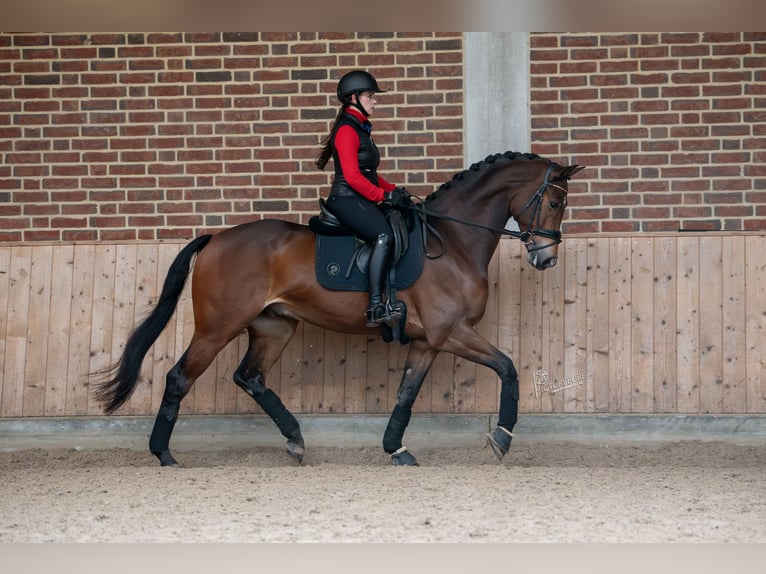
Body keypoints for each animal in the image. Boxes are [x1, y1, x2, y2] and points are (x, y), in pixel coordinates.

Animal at [94, 152, 588, 468]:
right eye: (555, 201)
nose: (546, 259)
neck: (452, 242)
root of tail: (216, 238)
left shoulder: (429, 342)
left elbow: (406, 395)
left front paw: (395, 450)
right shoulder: (452, 333)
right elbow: (508, 368)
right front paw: (502, 438)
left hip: (274, 327)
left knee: (250, 377)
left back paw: (295, 440)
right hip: (218, 327)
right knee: (180, 377)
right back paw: (164, 454)